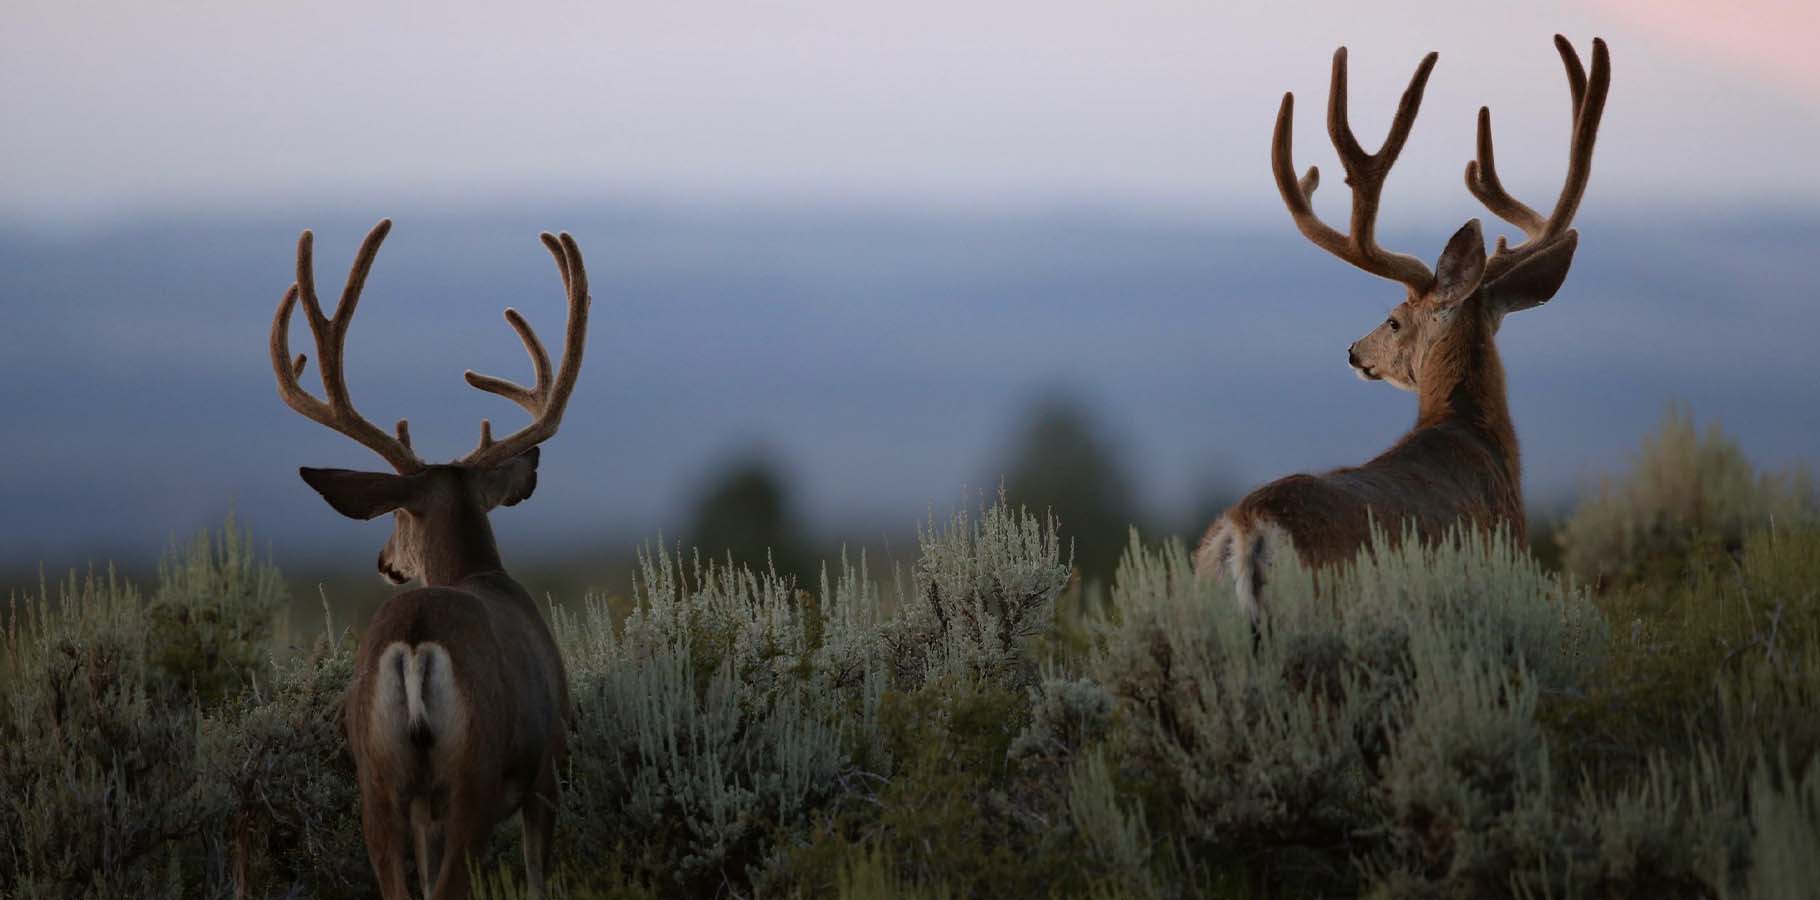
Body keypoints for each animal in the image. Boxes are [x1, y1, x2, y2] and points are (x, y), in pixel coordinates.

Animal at [267, 220, 589, 900]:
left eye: (396, 515)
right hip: (474, 772)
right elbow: (538, 878)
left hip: (378, 780)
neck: (478, 572)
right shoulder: (546, 770)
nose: (385, 562)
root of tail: (414, 644)